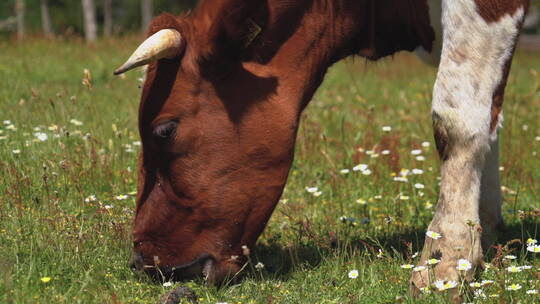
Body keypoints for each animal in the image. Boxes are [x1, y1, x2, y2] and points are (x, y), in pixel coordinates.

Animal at [115, 0, 532, 290]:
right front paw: (483, 230)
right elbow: (489, 117)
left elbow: (457, 116)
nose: (141, 260)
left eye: (164, 130)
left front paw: (446, 258)